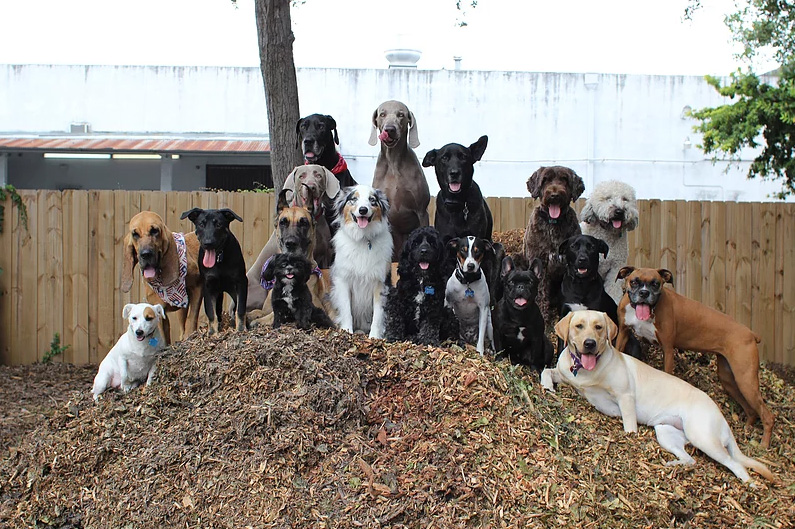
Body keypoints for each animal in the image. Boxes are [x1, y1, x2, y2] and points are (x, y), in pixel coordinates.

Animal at [330, 184, 392, 336]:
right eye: (354, 199)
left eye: (372, 200)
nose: (363, 210)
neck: (363, 239)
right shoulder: (343, 279)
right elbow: (346, 309)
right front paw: (347, 331)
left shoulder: (380, 283)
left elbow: (378, 314)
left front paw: (374, 336)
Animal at [524, 165, 584, 324]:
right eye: (545, 180)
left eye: (564, 179)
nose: (555, 195)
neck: (554, 224)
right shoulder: (540, 262)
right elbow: (541, 291)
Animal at [536, 310, 776, 482]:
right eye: (579, 326)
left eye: (598, 327)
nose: (590, 344)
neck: (585, 371)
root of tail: (722, 417)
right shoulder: (566, 375)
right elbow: (546, 371)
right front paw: (547, 387)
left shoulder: (625, 396)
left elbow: (629, 426)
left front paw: (629, 437)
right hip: (666, 433)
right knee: (690, 459)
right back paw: (673, 465)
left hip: (703, 436)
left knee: (736, 465)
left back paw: (750, 485)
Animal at [616, 266, 776, 448]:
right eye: (634, 281)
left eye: (656, 283)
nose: (644, 293)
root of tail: (750, 333)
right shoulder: (623, 333)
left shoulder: (668, 349)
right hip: (730, 380)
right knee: (751, 410)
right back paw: (748, 429)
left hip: (746, 381)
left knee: (768, 415)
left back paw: (763, 444)